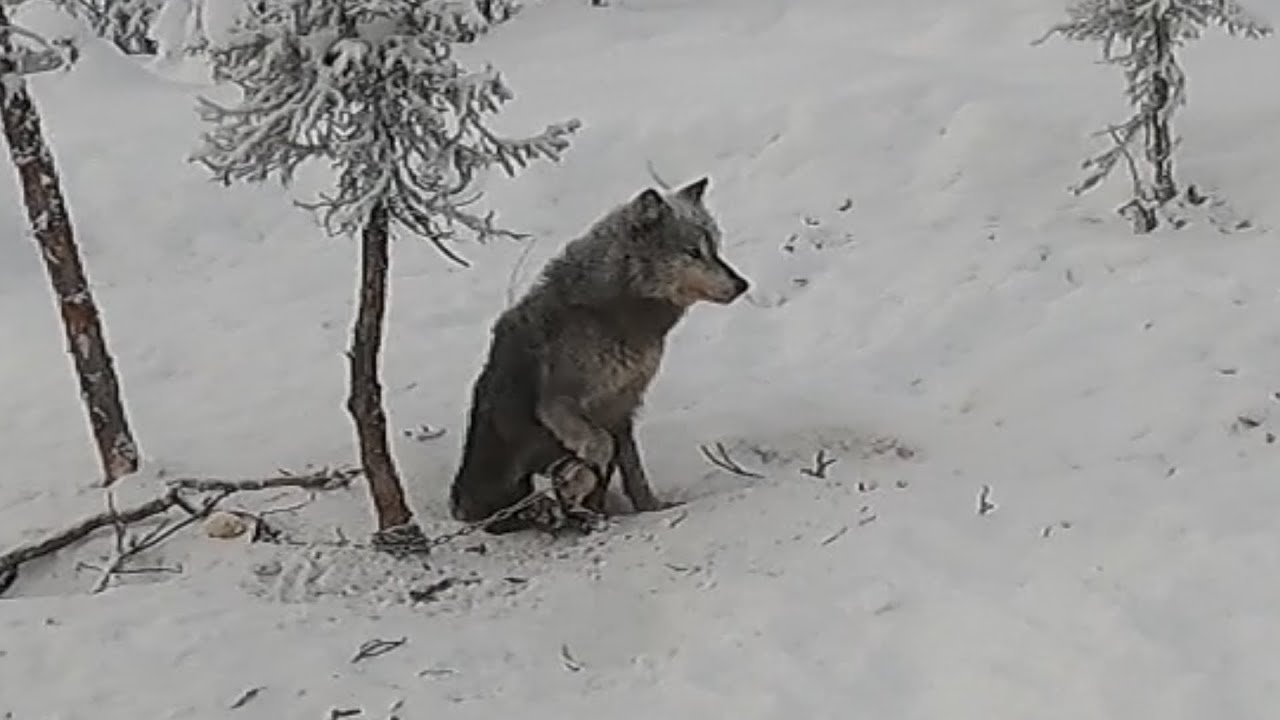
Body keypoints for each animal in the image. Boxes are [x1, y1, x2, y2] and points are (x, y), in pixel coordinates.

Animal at [448, 176, 750, 534]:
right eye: (692, 252)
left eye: (715, 248)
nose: (742, 284)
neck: (612, 314)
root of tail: (458, 505)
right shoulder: (559, 404)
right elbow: (601, 447)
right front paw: (580, 487)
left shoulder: (623, 406)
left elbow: (633, 469)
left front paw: (651, 508)